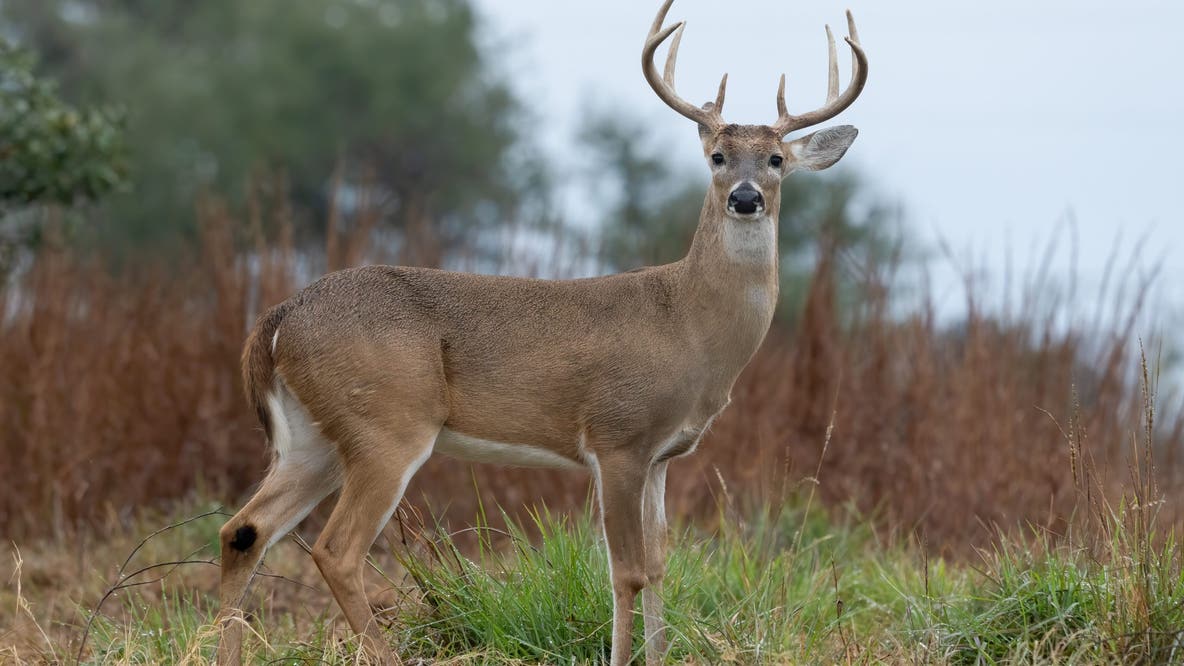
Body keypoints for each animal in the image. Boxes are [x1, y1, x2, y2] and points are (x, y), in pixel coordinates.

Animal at [215, 1, 867, 663]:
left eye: (776, 160)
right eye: (717, 157)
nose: (745, 197)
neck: (687, 323)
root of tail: (279, 318)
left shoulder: (662, 455)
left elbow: (661, 566)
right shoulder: (617, 436)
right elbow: (627, 572)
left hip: (313, 437)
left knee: (244, 529)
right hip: (386, 425)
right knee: (335, 549)